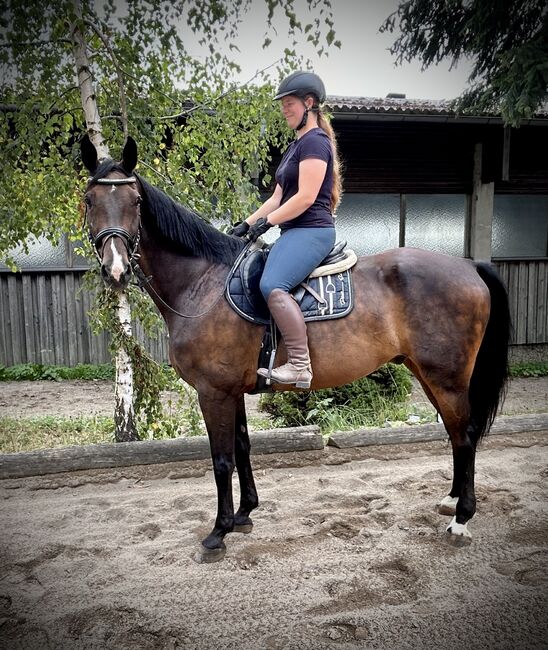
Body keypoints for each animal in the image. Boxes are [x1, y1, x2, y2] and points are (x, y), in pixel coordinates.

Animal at [80, 134, 510, 560]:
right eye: (89, 201)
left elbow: (221, 461)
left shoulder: (213, 392)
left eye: (135, 202)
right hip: (426, 373)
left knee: (465, 435)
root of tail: (469, 266)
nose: (115, 270)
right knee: (456, 434)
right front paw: (244, 514)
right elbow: (242, 447)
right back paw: (451, 500)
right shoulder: (233, 390)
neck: (202, 283)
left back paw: (461, 518)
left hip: (447, 378)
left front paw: (218, 532)